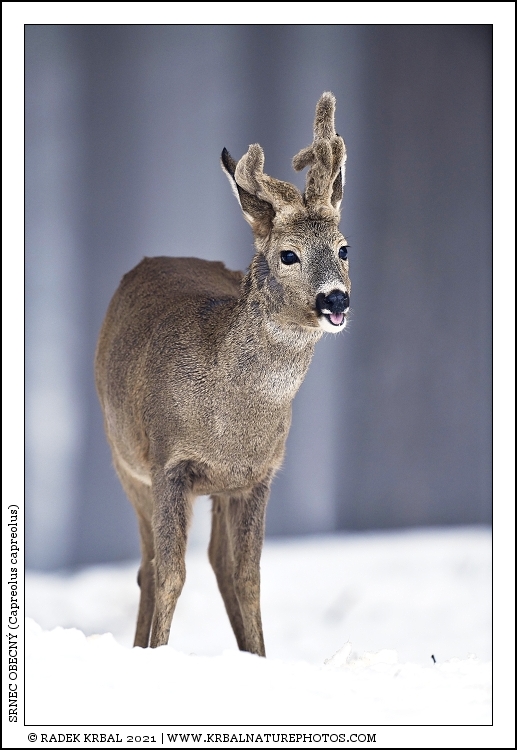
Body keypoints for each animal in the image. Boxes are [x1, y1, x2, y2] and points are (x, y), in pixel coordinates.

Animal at [95, 92, 351, 655]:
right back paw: (138, 647)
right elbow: (171, 575)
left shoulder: (256, 475)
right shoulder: (169, 464)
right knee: (147, 567)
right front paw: (159, 654)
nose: (336, 299)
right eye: (288, 254)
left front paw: (258, 656)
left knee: (213, 561)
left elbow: (247, 578)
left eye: (345, 248)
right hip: (125, 462)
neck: (230, 423)